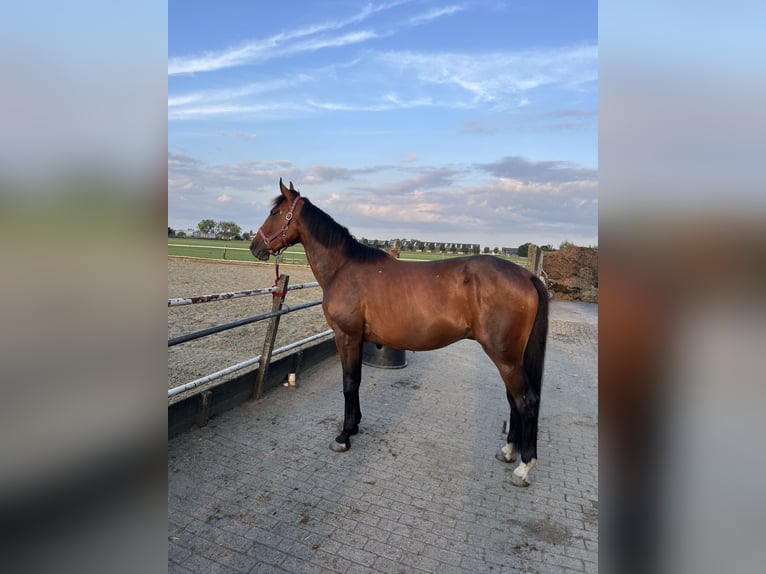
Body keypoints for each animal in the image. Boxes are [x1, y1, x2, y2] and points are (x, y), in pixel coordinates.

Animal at [255, 179, 548, 486]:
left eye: (275, 212)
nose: (254, 246)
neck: (343, 268)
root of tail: (527, 276)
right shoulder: (356, 340)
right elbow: (356, 381)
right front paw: (355, 426)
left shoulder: (346, 337)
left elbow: (349, 383)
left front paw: (344, 436)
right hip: (511, 358)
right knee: (514, 399)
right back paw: (508, 451)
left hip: (505, 357)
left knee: (525, 401)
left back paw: (524, 466)